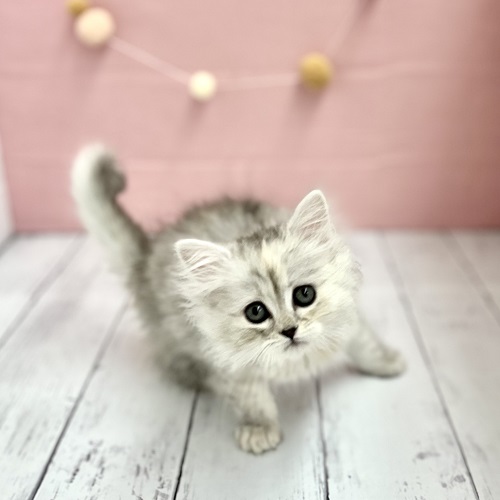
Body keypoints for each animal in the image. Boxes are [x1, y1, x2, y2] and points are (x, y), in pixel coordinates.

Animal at [72, 144, 405, 454]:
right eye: (255, 312)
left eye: (305, 295)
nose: (289, 331)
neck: (294, 362)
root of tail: (144, 262)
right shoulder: (227, 364)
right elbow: (254, 399)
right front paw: (260, 429)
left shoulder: (348, 319)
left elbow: (365, 343)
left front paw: (388, 362)